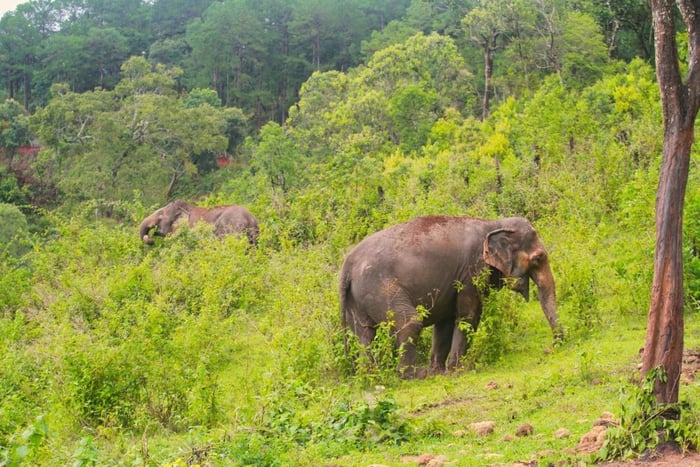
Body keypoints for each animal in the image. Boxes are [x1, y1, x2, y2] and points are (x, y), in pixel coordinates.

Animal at [338, 216, 562, 378]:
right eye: (538, 258)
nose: (548, 350)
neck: (493, 224)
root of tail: (346, 266)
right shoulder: (472, 271)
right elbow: (468, 315)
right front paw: (458, 371)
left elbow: (445, 322)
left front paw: (439, 372)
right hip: (381, 288)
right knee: (409, 323)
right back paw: (414, 375)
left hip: (357, 297)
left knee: (363, 334)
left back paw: (371, 377)